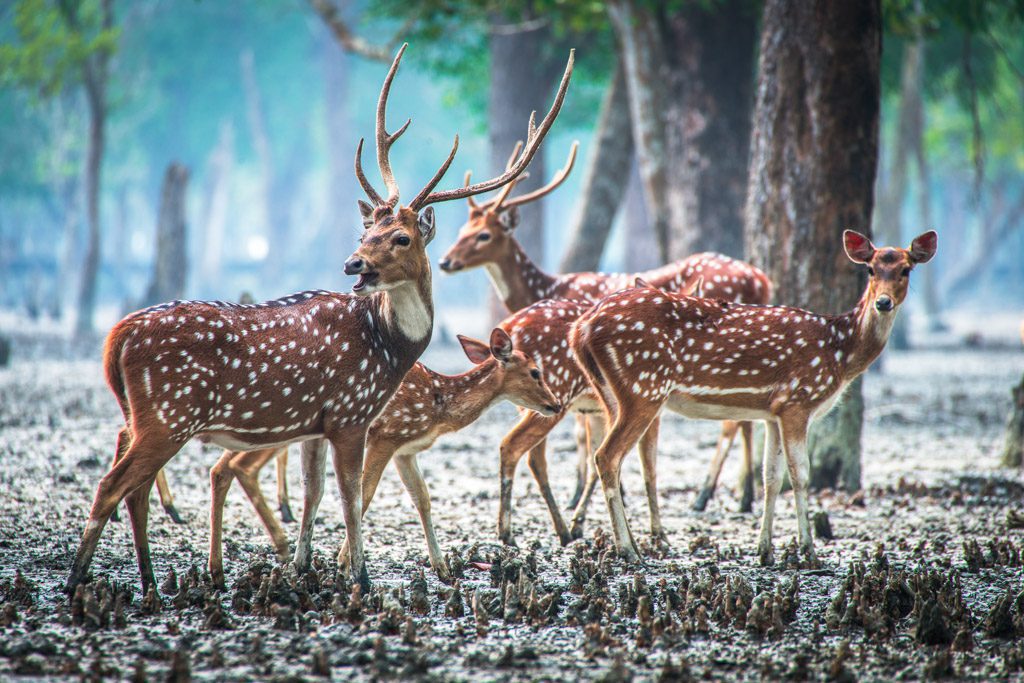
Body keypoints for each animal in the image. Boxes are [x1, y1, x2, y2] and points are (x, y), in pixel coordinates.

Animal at [66, 45, 577, 593]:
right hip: (169, 414)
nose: (354, 264)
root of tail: (115, 337)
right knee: (112, 485)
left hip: (145, 417)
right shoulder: (353, 413)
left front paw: (305, 568)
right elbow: (352, 496)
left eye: (400, 237)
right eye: (366, 231)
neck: (389, 348)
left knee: (132, 486)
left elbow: (318, 493)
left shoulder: (317, 422)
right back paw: (82, 582)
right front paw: (360, 577)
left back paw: (149, 582)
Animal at [569, 229, 937, 565]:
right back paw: (628, 550)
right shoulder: (798, 400)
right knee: (607, 456)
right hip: (644, 387)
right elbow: (800, 474)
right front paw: (809, 552)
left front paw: (765, 551)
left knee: (613, 458)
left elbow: (770, 477)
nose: (883, 302)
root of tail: (581, 328)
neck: (839, 352)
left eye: (906, 269)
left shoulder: (773, 412)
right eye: (871, 269)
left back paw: (630, 543)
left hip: (611, 394)